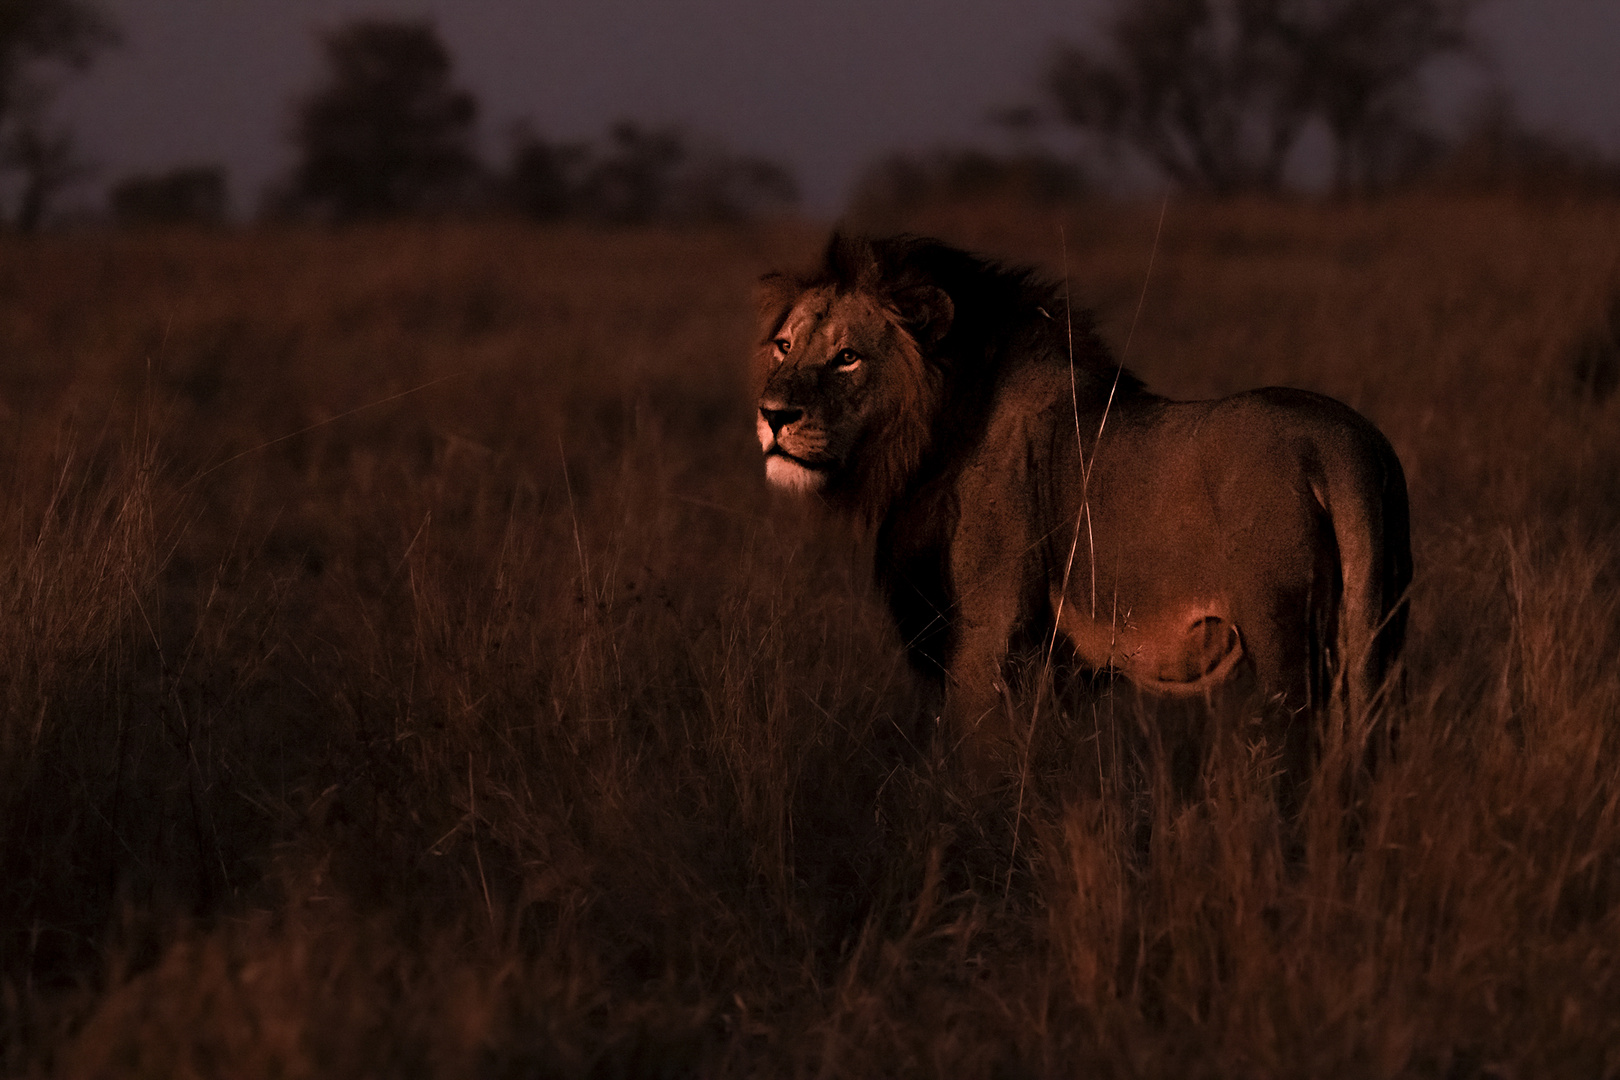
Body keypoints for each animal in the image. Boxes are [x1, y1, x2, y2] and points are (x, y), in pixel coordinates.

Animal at [751, 234, 1412, 793]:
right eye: (785, 347)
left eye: (847, 357)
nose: (772, 414)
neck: (935, 430)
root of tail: (1342, 445)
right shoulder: (1054, 664)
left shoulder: (989, 635)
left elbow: (978, 762)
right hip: (1381, 631)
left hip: (1283, 646)